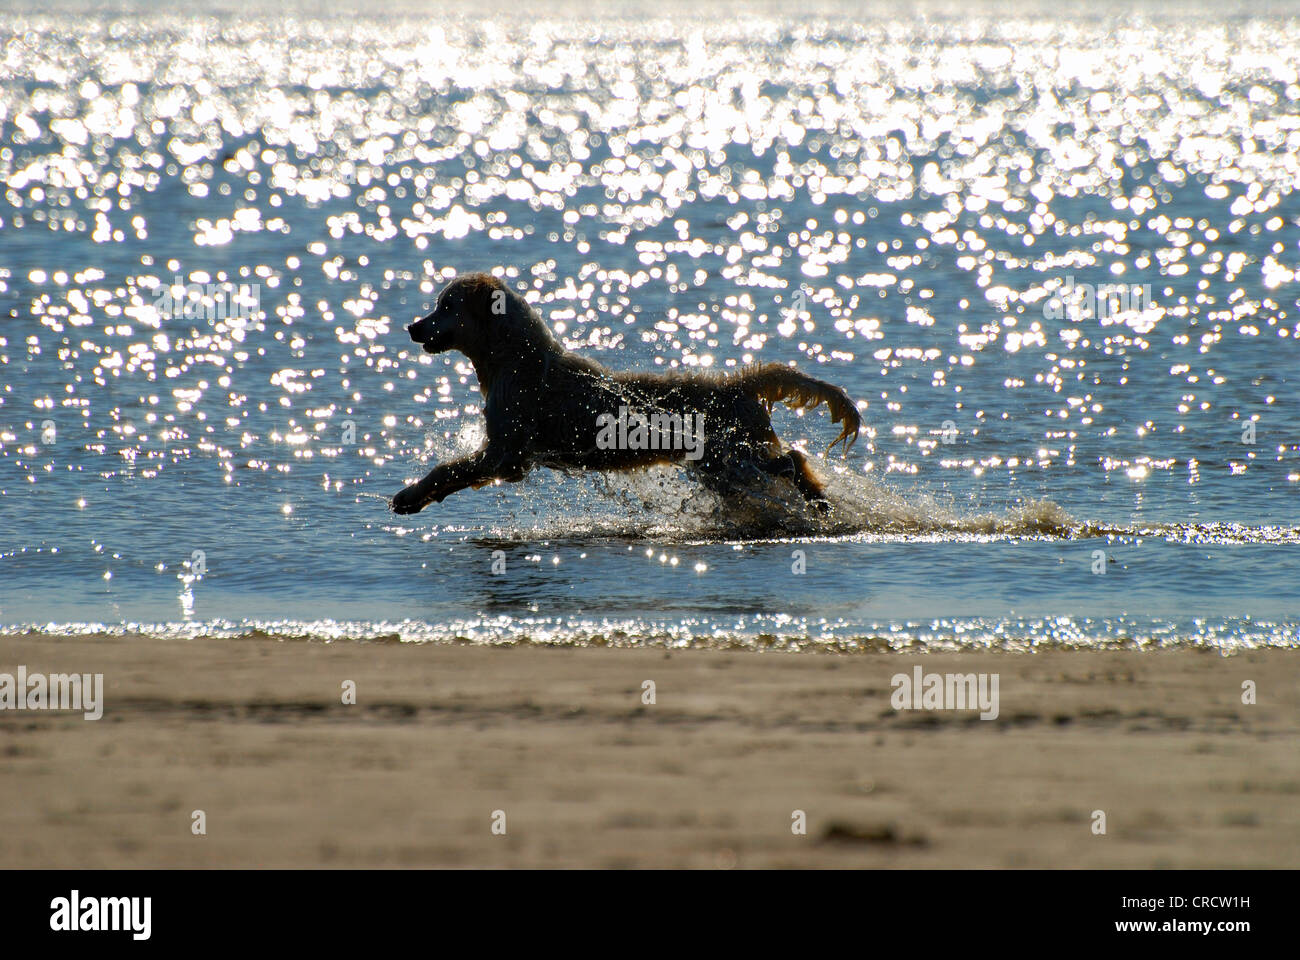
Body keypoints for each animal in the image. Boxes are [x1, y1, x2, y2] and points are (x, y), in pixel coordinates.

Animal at [392, 273, 863, 512]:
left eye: (445, 306)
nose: (412, 327)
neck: (514, 358)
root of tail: (737, 385)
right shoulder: (510, 456)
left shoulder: (506, 453)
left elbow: (448, 469)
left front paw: (410, 495)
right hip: (725, 466)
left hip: (732, 459)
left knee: (791, 460)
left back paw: (818, 500)